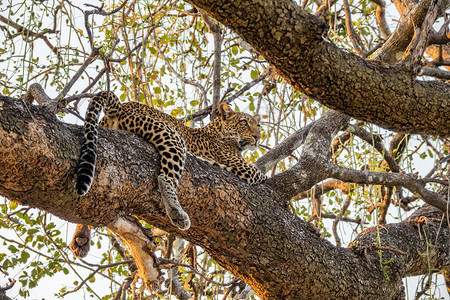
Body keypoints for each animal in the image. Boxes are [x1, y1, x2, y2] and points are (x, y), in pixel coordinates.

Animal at [71, 91, 266, 258]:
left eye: (258, 125)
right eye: (243, 122)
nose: (257, 137)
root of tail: (121, 105)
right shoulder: (244, 168)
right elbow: (263, 176)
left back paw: (81, 237)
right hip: (172, 137)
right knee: (165, 177)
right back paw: (177, 213)